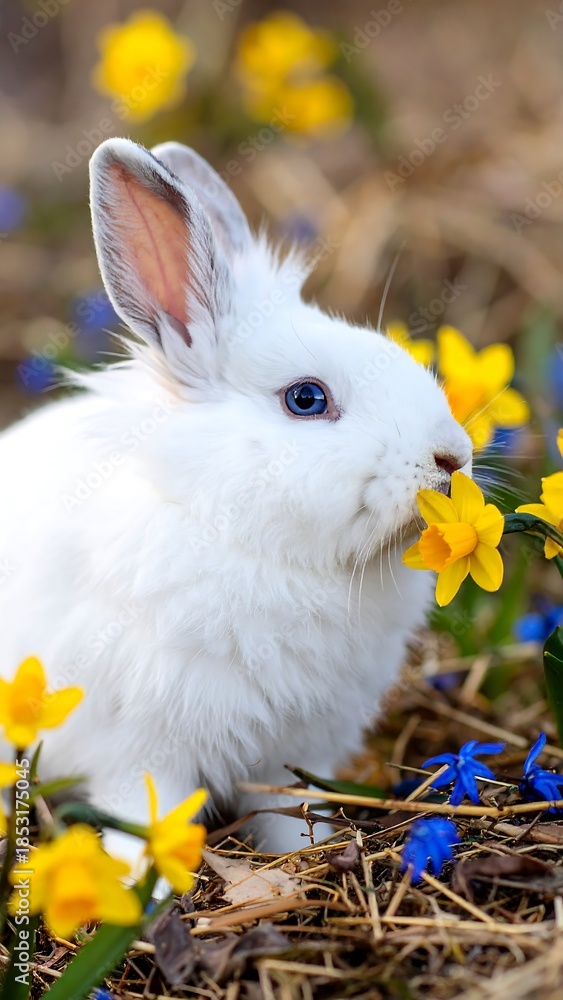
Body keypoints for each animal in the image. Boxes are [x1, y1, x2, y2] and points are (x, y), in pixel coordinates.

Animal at [0, 138, 472, 867]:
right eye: (306, 399)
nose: (452, 457)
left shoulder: (291, 753)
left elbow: (289, 813)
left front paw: (305, 853)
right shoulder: (142, 749)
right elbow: (145, 815)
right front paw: (143, 875)